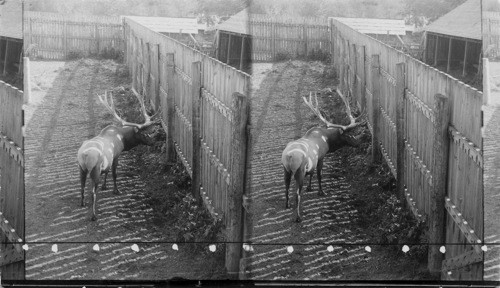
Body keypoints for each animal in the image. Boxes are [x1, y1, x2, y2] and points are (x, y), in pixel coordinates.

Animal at [77, 87, 159, 220]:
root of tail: (84, 156)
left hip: (81, 168)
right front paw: (117, 190)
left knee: (82, 185)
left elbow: (107, 171)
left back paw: (82, 203)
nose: (154, 142)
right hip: (95, 169)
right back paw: (94, 215)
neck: (123, 139)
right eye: (144, 134)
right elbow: (115, 174)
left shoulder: (108, 161)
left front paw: (105, 186)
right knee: (93, 192)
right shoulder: (116, 155)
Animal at [280, 88, 366, 223]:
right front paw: (321, 191)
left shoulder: (312, 162)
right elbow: (319, 174)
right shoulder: (321, 156)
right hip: (299, 170)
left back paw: (287, 204)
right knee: (297, 194)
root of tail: (289, 157)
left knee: (287, 186)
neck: (327, 140)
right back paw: (298, 217)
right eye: (348, 135)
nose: (360, 142)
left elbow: (312, 173)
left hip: (286, 169)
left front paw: (310, 187)